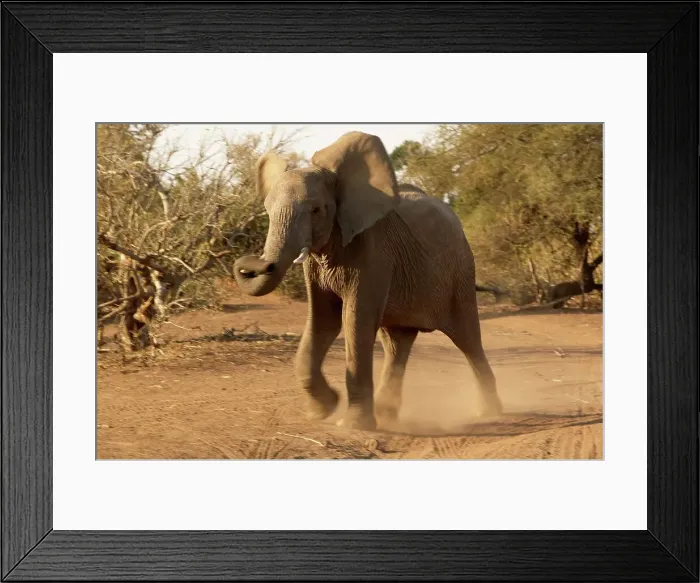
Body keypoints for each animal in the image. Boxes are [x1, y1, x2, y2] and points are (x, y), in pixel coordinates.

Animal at [233, 131, 502, 430]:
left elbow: (355, 320)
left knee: (468, 340)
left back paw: (489, 413)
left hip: (461, 273)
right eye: (267, 211)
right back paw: (387, 415)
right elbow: (322, 320)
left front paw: (352, 426)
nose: (249, 267)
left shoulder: (373, 252)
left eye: (316, 210)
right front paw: (325, 408)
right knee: (397, 343)